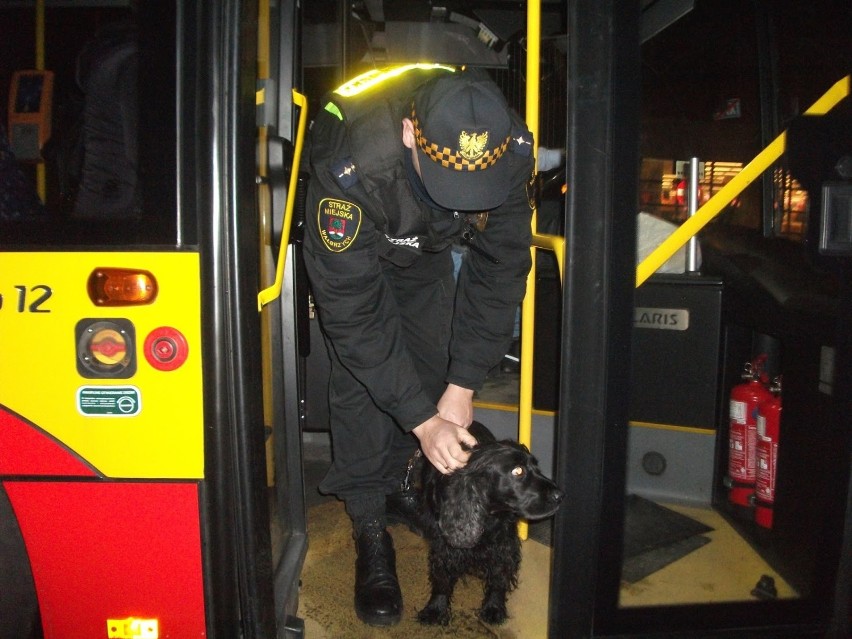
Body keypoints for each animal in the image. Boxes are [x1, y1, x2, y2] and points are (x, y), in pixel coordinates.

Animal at [416, 422, 564, 628]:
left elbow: (498, 575)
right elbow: (442, 577)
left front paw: (494, 607)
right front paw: (435, 608)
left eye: (536, 466)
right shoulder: (444, 544)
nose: (560, 496)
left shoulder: (503, 544)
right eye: (518, 471)